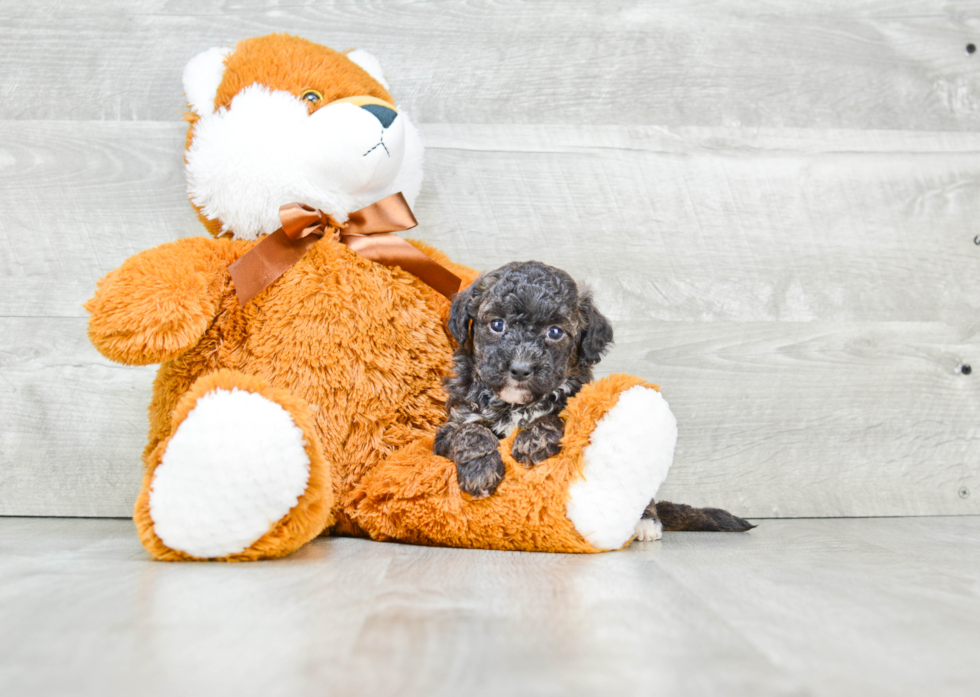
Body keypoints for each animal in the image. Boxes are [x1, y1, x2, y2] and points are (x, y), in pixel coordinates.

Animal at [436, 260, 612, 494]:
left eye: (555, 332)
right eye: (497, 324)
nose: (520, 369)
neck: (513, 405)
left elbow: (556, 416)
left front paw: (533, 441)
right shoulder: (453, 423)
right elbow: (469, 430)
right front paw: (480, 469)